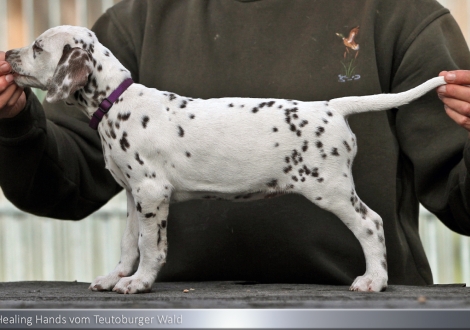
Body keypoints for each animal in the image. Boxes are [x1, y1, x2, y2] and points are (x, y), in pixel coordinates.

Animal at [5, 26, 446, 294]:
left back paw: (373, 280)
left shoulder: (152, 193)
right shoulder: (133, 195)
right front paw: (115, 277)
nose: (8, 53)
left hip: (331, 188)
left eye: (38, 47)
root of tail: (332, 107)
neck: (117, 100)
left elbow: (150, 245)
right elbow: (129, 243)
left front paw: (139, 282)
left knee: (371, 224)